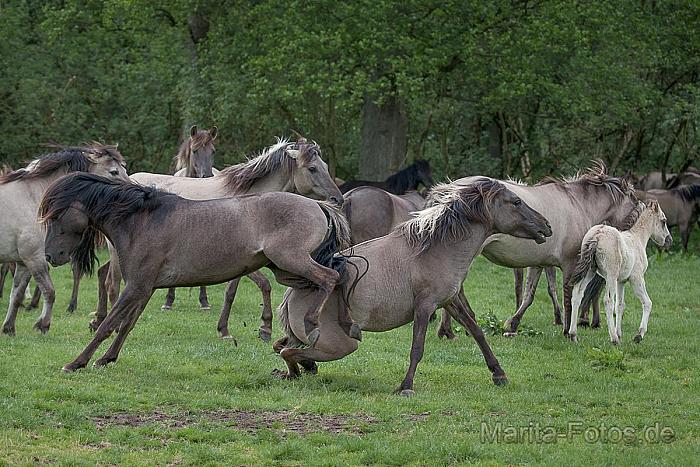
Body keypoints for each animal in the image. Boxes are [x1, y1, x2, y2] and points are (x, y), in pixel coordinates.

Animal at [0, 144, 128, 334]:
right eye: (114, 171)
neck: (33, 198)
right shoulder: (35, 258)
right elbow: (49, 291)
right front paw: (43, 324)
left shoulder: (23, 263)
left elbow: (17, 295)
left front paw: (9, 328)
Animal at [39, 173, 356, 372]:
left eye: (56, 216)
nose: (51, 256)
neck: (141, 220)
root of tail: (318, 205)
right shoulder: (144, 289)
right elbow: (126, 325)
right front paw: (107, 359)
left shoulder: (136, 287)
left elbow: (108, 325)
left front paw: (76, 363)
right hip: (283, 269)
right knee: (334, 279)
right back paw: (333, 330)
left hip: (292, 260)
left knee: (330, 278)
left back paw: (313, 326)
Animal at [274, 179, 552, 394]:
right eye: (516, 202)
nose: (547, 226)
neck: (435, 250)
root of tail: (291, 298)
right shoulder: (425, 307)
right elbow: (417, 348)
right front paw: (406, 386)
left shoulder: (449, 302)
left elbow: (477, 332)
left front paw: (499, 374)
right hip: (343, 346)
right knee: (288, 352)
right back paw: (299, 369)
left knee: (284, 347)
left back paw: (299, 370)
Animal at [434, 163, 644, 338]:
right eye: (635, 201)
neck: (578, 205)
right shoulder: (570, 264)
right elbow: (568, 295)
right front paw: (567, 330)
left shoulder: (538, 264)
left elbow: (529, 295)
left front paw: (513, 324)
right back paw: (451, 328)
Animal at [568, 199, 672, 346]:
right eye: (663, 221)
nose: (669, 241)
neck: (637, 238)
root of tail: (597, 235)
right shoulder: (637, 279)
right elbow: (647, 302)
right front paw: (638, 335)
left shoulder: (621, 281)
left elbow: (620, 305)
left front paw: (620, 333)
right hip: (610, 276)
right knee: (607, 300)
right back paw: (613, 339)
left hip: (590, 272)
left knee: (577, 294)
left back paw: (573, 335)